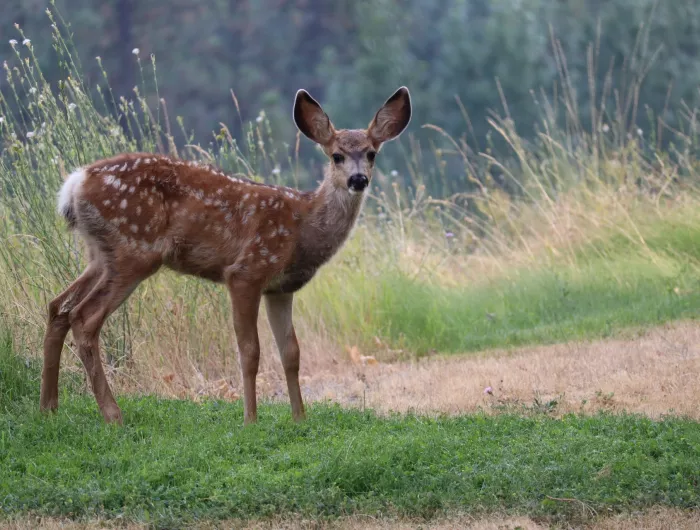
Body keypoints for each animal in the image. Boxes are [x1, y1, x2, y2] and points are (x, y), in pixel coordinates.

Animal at [40, 86, 411, 425]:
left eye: (371, 153)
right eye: (336, 155)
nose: (358, 179)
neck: (302, 226)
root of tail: (75, 183)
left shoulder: (280, 288)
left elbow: (291, 352)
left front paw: (299, 419)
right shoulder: (246, 271)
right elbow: (250, 351)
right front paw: (250, 419)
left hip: (100, 254)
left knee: (59, 306)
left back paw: (49, 407)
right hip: (134, 250)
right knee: (85, 317)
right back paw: (112, 414)